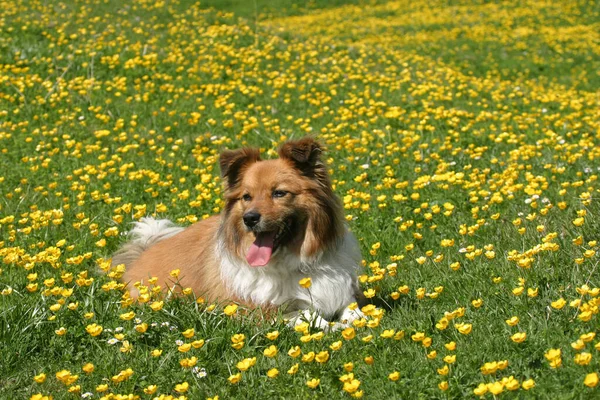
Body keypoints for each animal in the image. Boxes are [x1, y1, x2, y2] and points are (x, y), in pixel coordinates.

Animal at [112, 138, 366, 328]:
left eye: (279, 193)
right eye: (246, 196)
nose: (249, 219)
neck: (297, 262)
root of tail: (141, 253)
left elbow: (354, 309)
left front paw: (361, 320)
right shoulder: (257, 309)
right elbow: (309, 316)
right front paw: (334, 326)